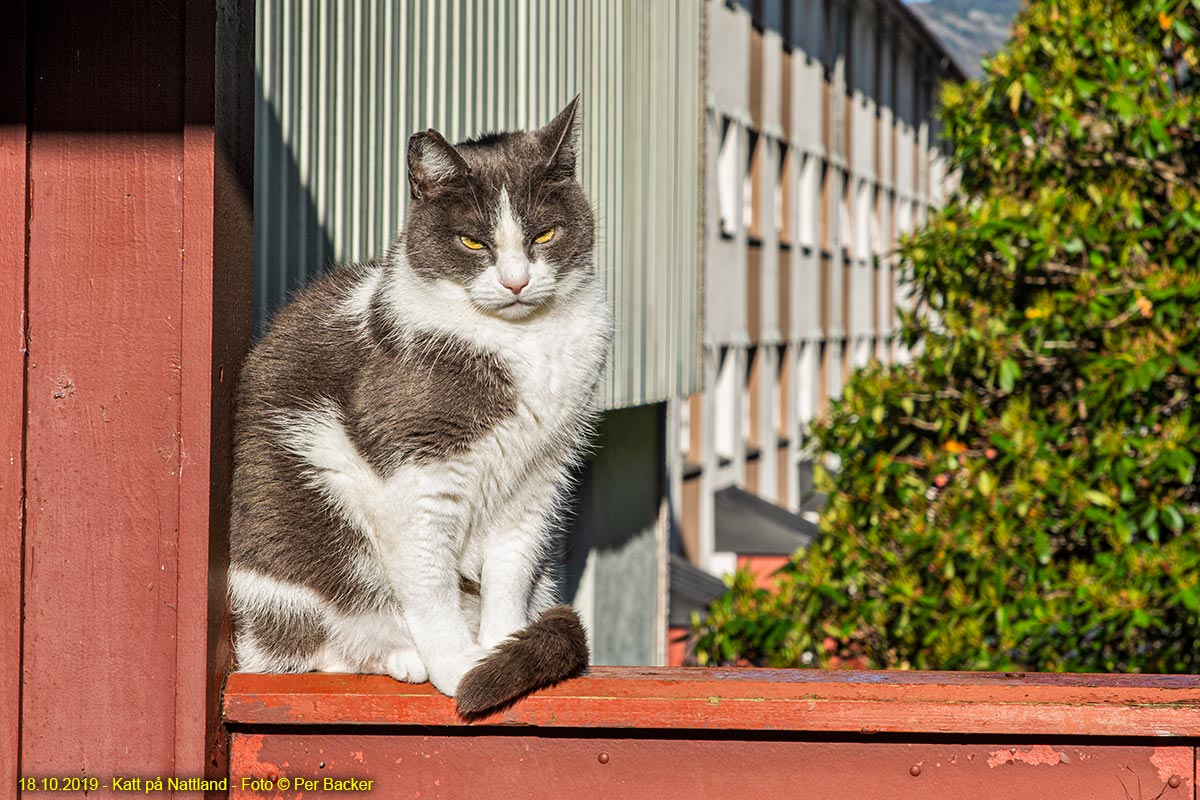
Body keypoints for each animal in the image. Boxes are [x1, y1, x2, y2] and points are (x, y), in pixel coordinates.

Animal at [229, 97, 614, 714]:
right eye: (474, 243)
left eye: (546, 234)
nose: (516, 282)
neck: (526, 343)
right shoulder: (418, 472)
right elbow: (430, 582)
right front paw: (461, 668)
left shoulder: (540, 477)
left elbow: (511, 570)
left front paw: (501, 648)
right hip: (298, 544)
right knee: (301, 647)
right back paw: (399, 656)